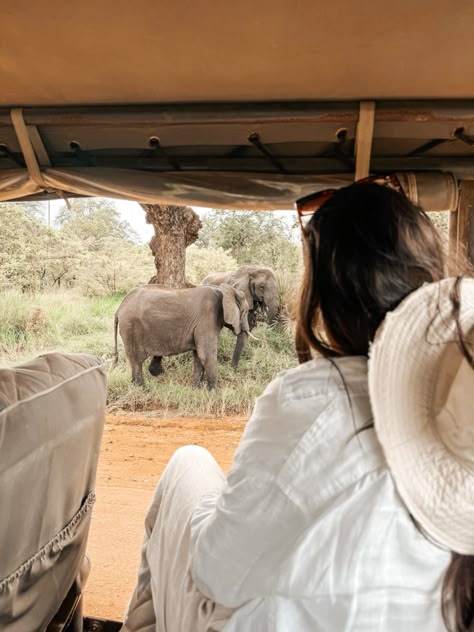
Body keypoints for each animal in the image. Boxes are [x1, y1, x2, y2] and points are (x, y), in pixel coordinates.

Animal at [113, 283, 249, 389]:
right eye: (246, 311)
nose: (233, 371)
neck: (224, 289)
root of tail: (119, 308)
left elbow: (198, 355)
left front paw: (196, 389)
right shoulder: (207, 321)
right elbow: (206, 354)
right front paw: (213, 393)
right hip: (131, 327)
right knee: (137, 362)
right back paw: (142, 389)